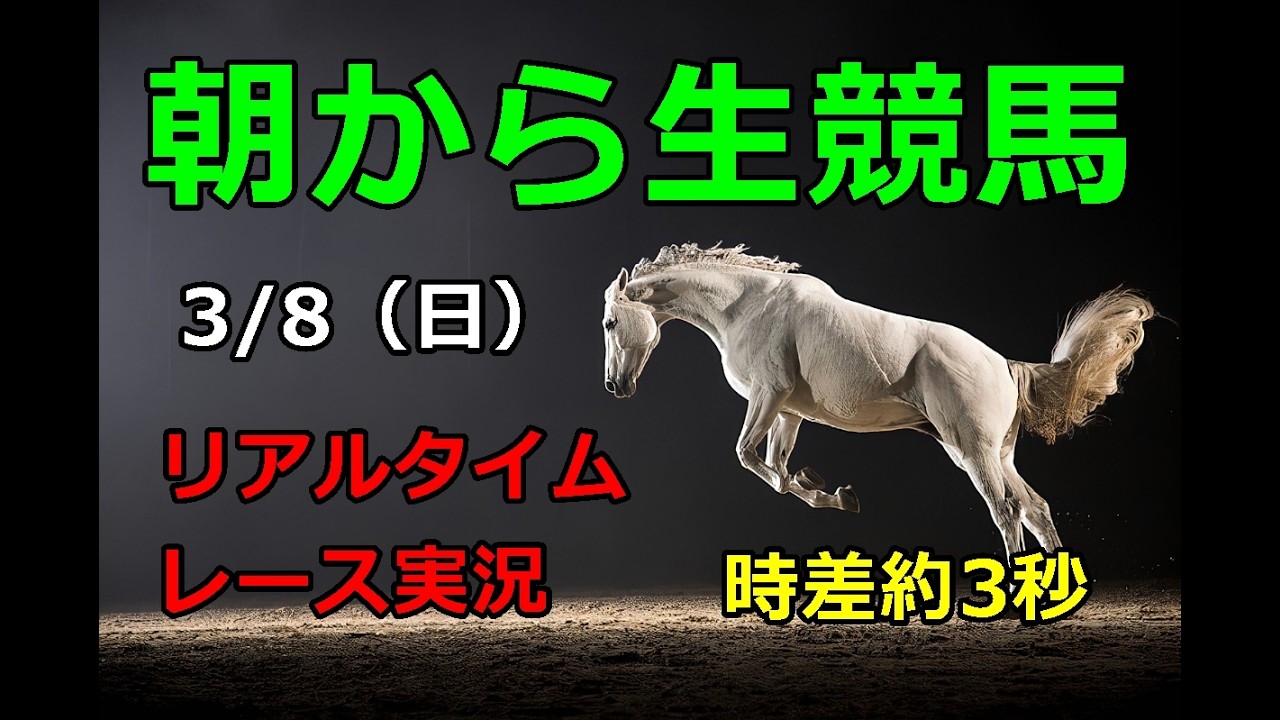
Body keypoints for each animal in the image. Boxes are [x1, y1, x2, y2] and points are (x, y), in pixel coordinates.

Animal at [601, 244, 1154, 561]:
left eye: (609, 322)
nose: (614, 386)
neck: (748, 306)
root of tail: (1003, 364)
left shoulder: (767, 396)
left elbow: (749, 457)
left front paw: (827, 490)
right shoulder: (788, 412)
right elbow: (777, 472)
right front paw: (831, 492)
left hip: (974, 451)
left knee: (1006, 509)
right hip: (992, 453)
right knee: (1035, 508)